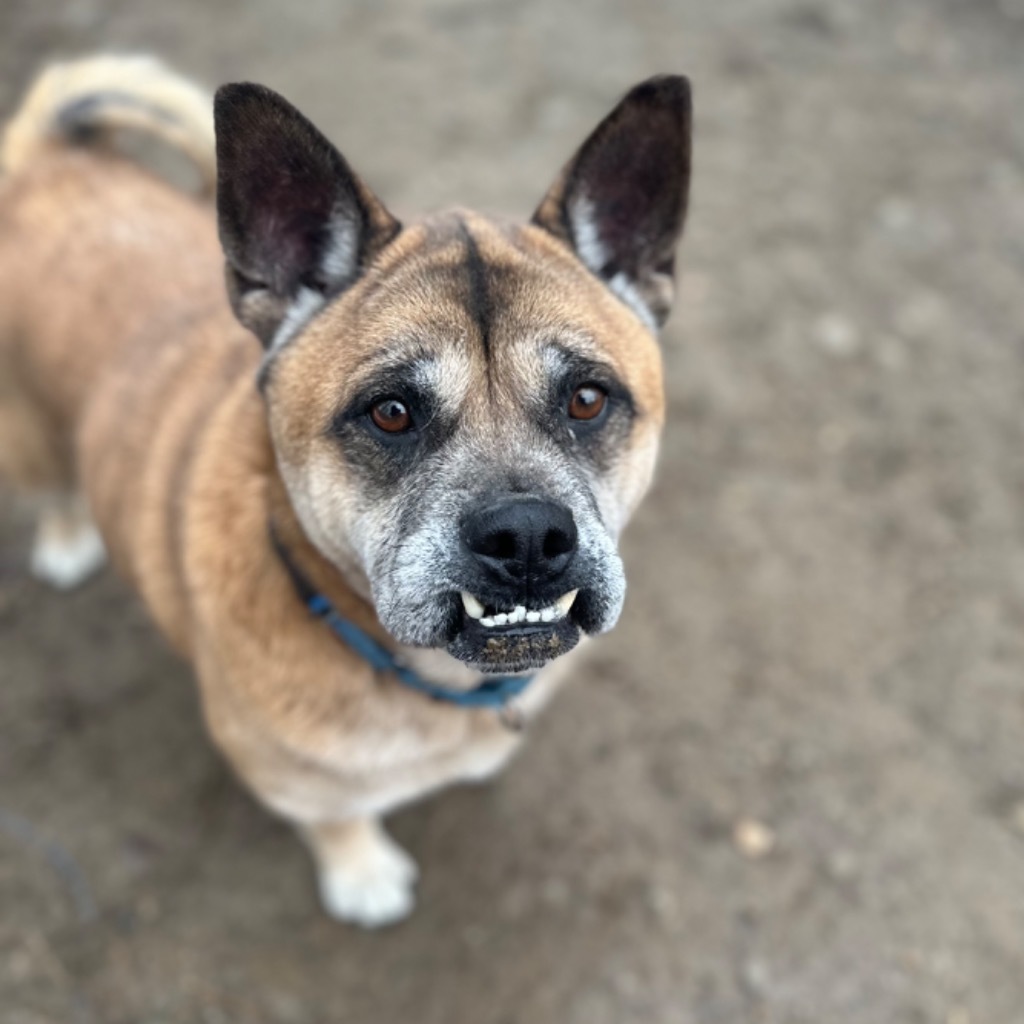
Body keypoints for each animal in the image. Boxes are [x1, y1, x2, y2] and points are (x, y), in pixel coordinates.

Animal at [0, 51, 692, 925]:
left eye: (588, 399)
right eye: (391, 412)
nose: (529, 537)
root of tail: (48, 156)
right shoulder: (287, 778)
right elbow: (337, 817)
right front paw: (362, 876)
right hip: (27, 436)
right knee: (51, 486)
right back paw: (65, 540)